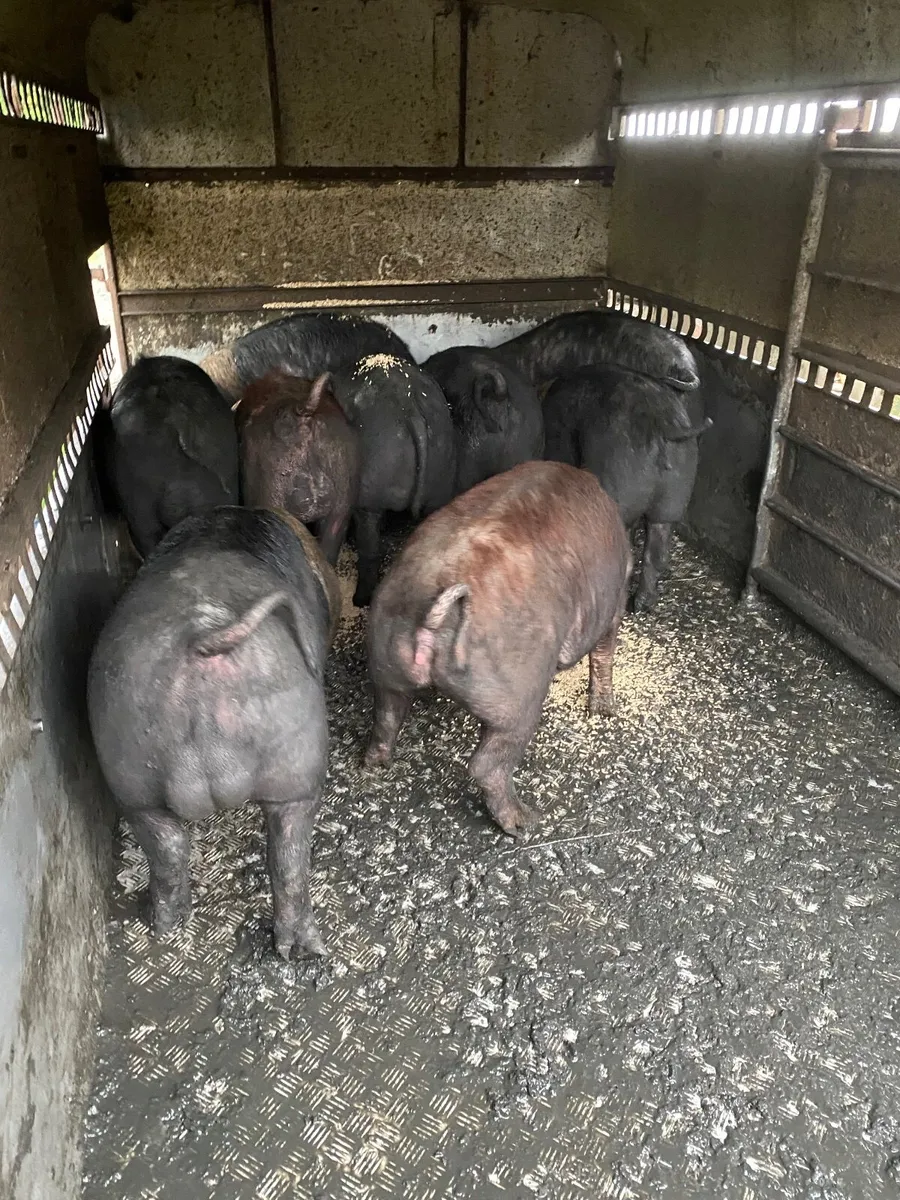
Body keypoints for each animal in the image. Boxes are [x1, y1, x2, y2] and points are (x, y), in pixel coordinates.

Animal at [87, 506, 341, 960]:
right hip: (300, 766)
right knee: (290, 852)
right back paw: (306, 951)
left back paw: (164, 923)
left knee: (168, 845)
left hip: (128, 769)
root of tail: (198, 640)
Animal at [365, 461, 631, 837]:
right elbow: (605, 652)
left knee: (386, 717)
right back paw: (526, 822)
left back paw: (376, 765)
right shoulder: (617, 596)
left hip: (385, 661)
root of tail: (431, 613)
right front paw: (605, 712)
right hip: (519, 692)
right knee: (487, 764)